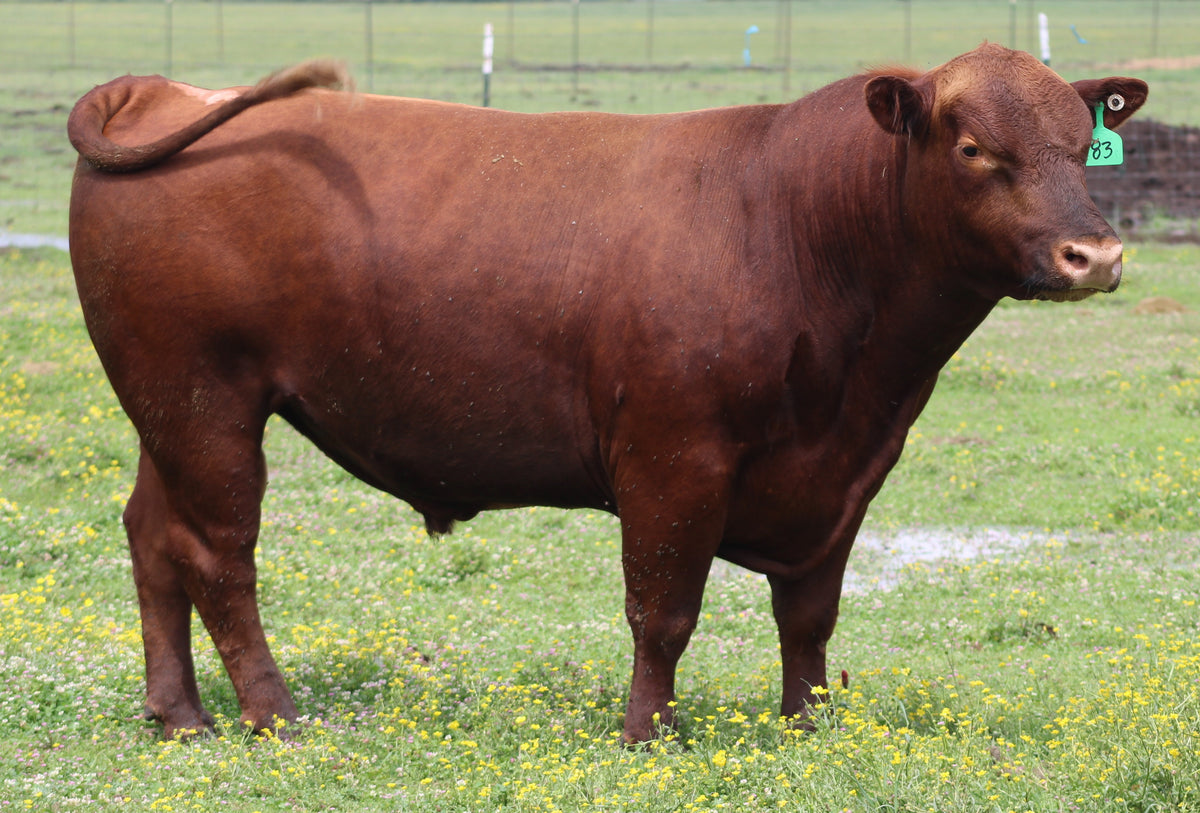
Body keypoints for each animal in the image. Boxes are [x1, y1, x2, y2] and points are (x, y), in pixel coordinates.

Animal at [67, 44, 1146, 743]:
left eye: (1081, 140)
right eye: (973, 147)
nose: (1093, 254)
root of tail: (160, 89)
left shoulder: (846, 473)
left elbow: (810, 615)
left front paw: (808, 727)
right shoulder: (675, 457)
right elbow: (663, 610)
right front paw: (648, 736)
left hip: (166, 412)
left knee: (152, 538)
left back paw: (179, 716)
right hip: (206, 402)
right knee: (219, 557)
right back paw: (274, 715)